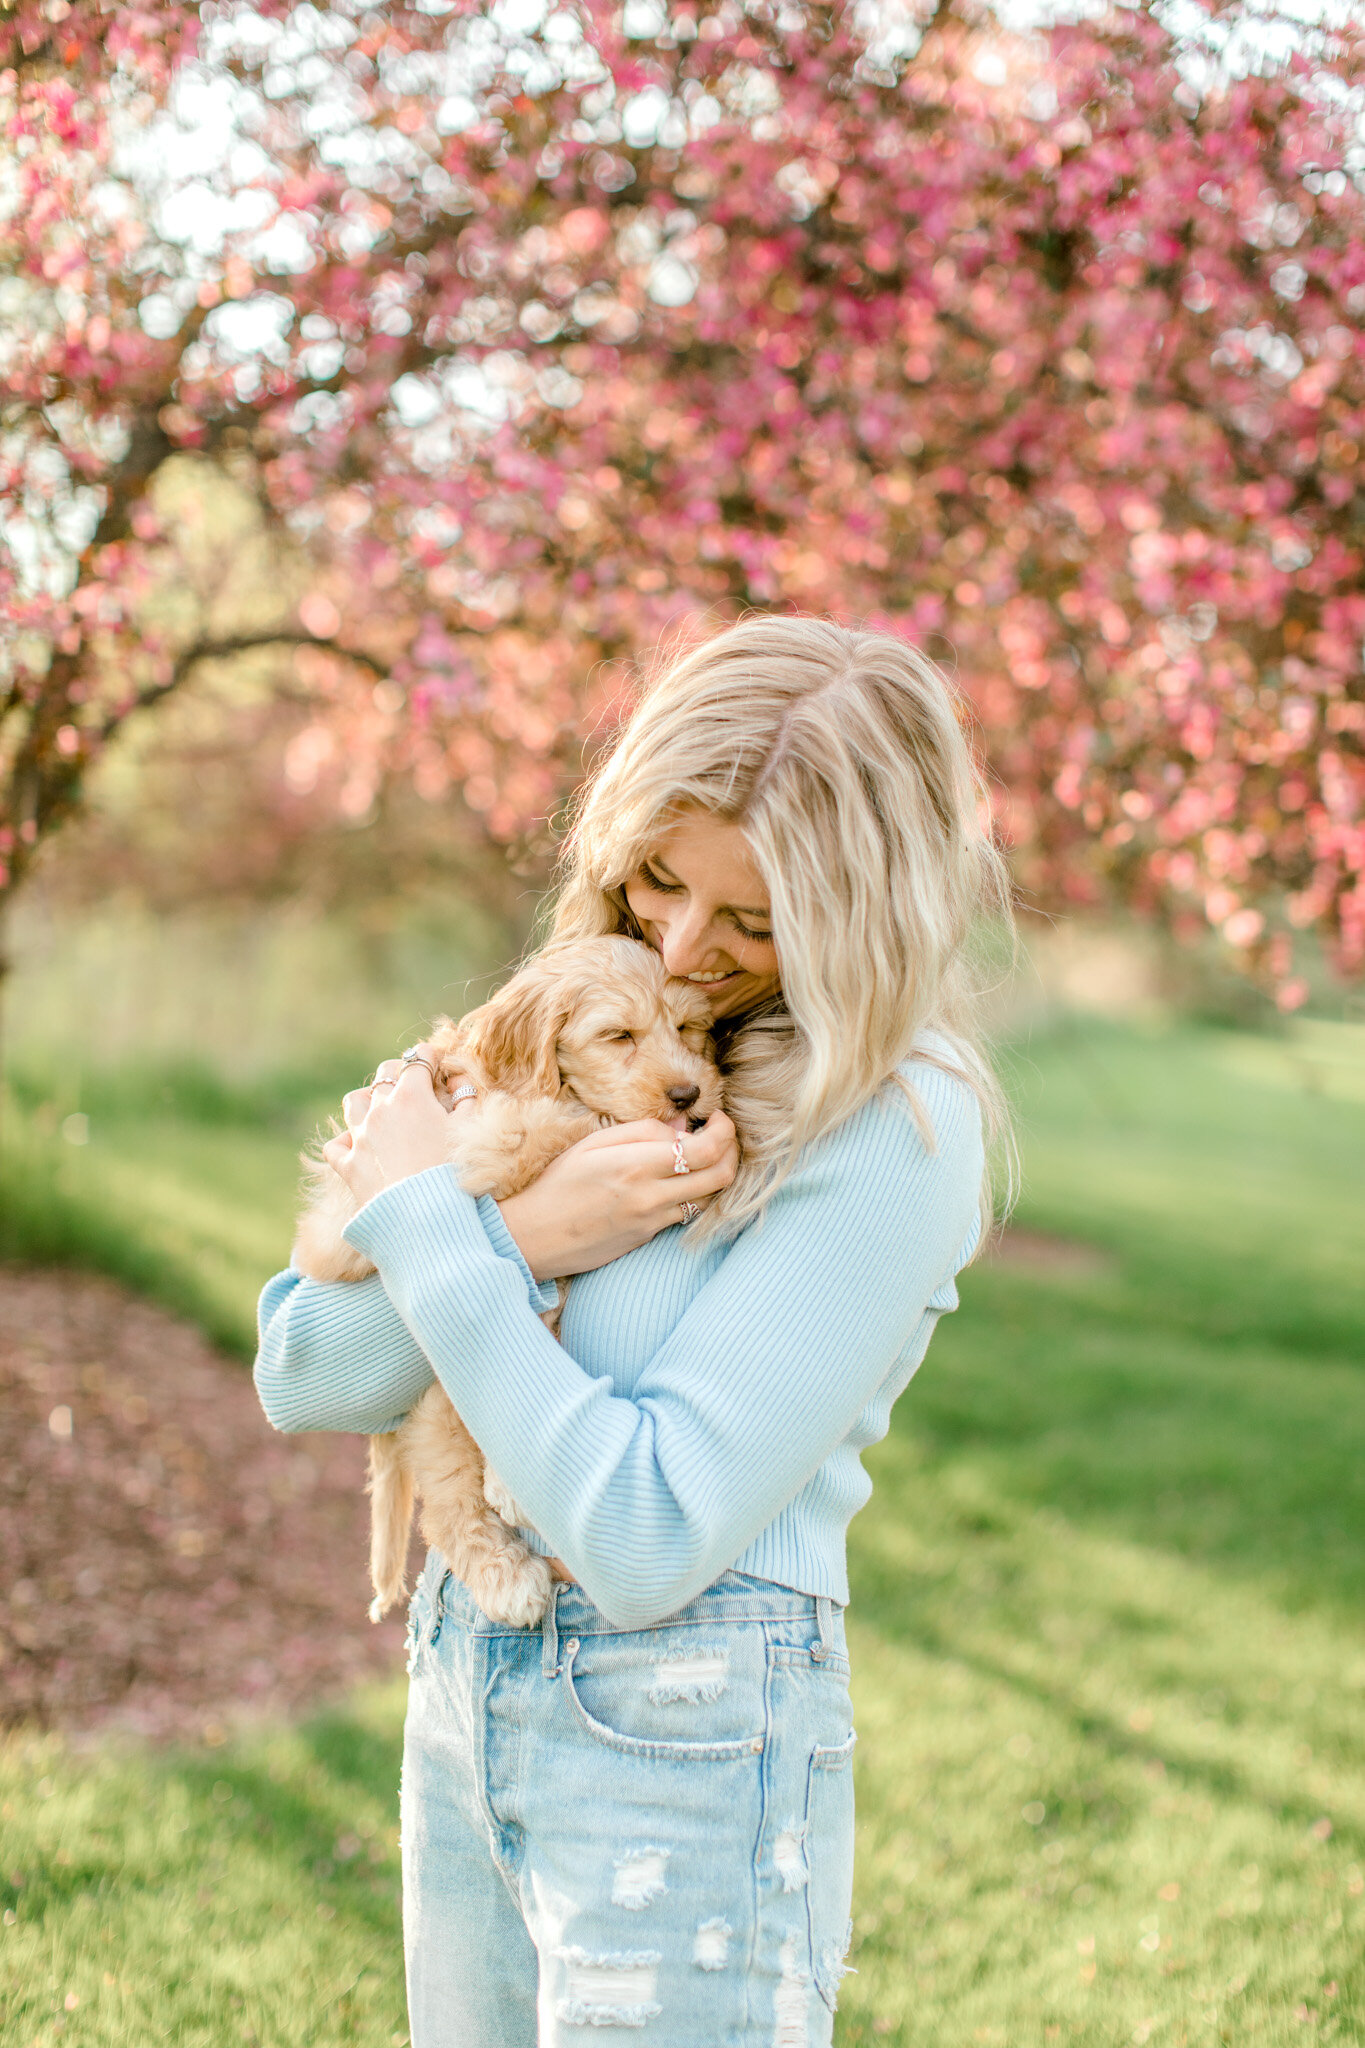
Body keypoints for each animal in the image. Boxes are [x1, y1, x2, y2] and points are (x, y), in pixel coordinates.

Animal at [290, 937, 724, 1630]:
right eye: (618, 1035)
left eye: (687, 1028)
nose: (688, 1094)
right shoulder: (480, 1141)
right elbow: (546, 1131)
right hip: (436, 1410)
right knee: (449, 1501)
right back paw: (507, 1575)